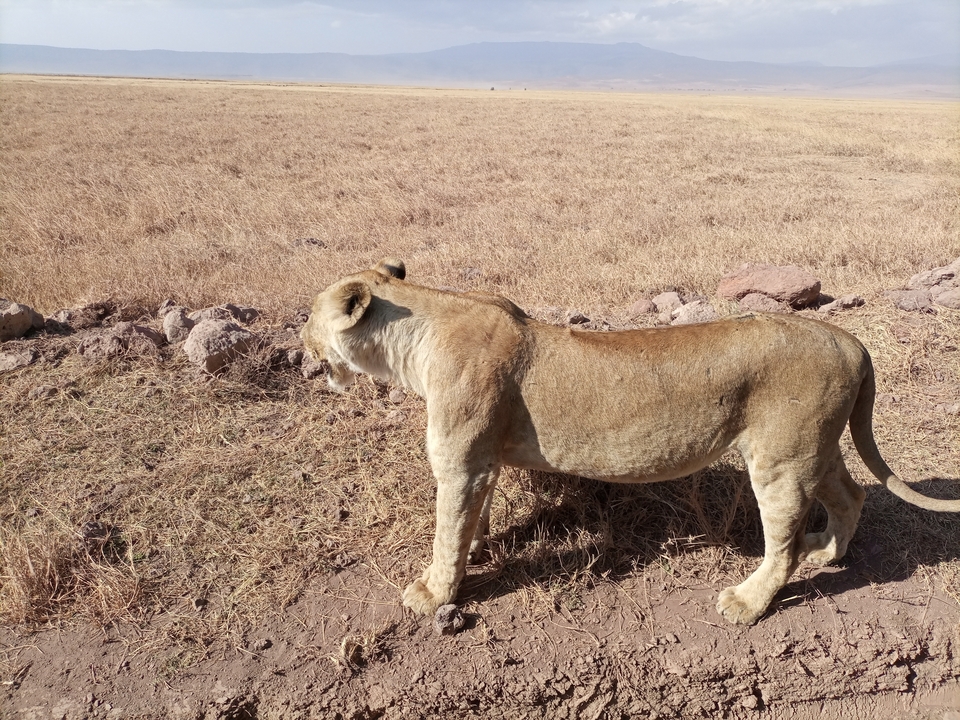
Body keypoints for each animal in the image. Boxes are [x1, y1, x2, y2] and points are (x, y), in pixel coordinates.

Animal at [301, 258, 960, 625]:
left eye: (308, 317)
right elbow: (469, 517)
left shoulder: (460, 458)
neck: (420, 327)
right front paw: (479, 548)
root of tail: (852, 341)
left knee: (784, 545)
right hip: (812, 448)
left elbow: (446, 526)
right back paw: (830, 551)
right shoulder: (479, 457)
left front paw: (434, 590)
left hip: (782, 458)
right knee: (851, 494)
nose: (303, 348)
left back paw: (747, 603)